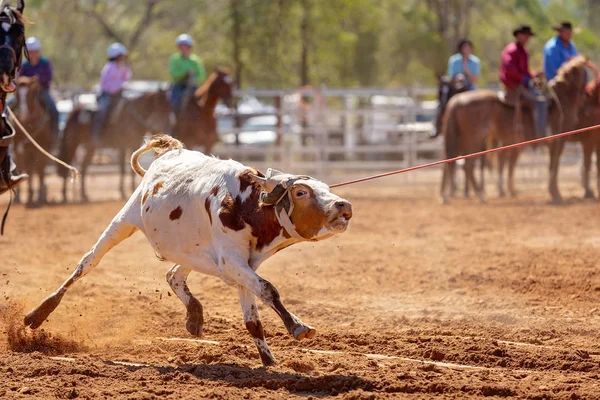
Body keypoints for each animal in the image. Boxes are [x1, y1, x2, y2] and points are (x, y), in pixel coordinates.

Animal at [10, 76, 53, 206]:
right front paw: (29, 197)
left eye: (29, 94)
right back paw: (18, 197)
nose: (23, 114)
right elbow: (29, 168)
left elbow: (40, 169)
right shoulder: (24, 149)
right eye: (17, 94)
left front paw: (40, 196)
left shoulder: (42, 147)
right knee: (22, 165)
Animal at [23, 136, 352, 368]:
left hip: (187, 251)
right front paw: (298, 327)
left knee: (173, 275)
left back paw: (194, 314)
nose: (343, 205)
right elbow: (269, 290)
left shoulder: (243, 265)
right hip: (123, 221)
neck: (244, 203)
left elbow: (253, 317)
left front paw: (269, 361)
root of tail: (172, 152)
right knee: (86, 263)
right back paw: (38, 314)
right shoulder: (232, 261)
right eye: (301, 192)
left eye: (325, 188)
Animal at [440, 55, 592, 203]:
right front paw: (556, 194)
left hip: (463, 139)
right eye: (585, 72)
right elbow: (553, 166)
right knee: (468, 165)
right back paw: (480, 195)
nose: (587, 95)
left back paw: (450, 196)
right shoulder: (558, 141)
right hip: (474, 139)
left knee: (453, 162)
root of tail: (457, 100)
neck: (559, 102)